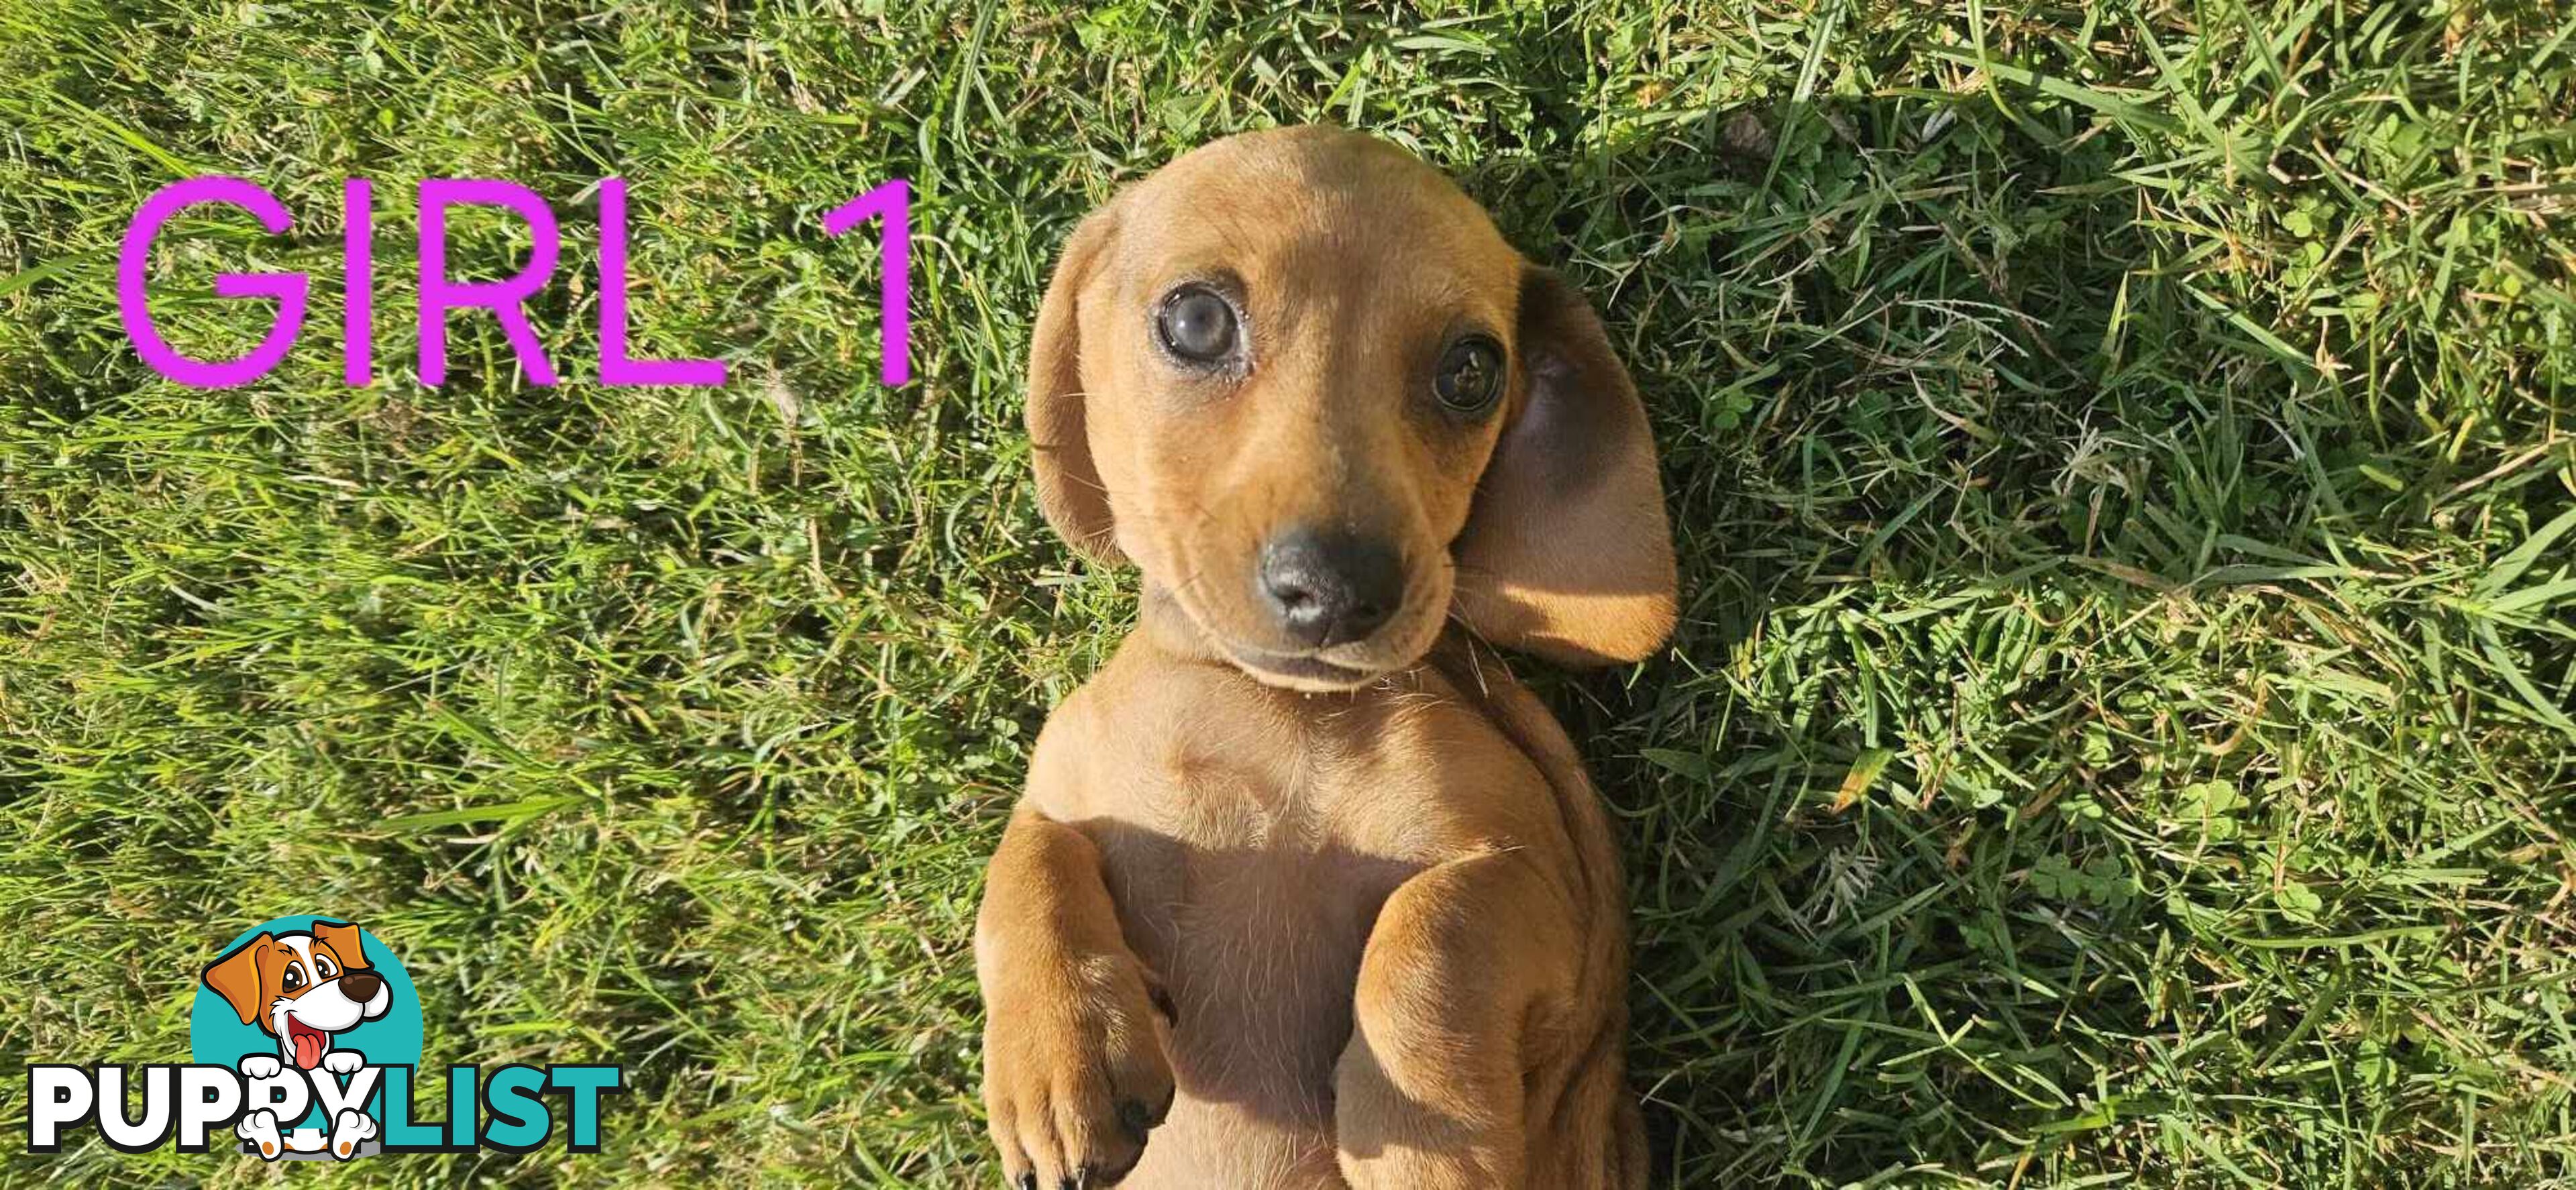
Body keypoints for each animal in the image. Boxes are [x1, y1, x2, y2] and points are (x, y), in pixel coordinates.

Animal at [973, 125, 1679, 1185]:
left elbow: (1427, 938)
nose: (1340, 585)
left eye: (1472, 371)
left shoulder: (1531, 870)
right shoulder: (1064, 778)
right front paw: (1058, 1061)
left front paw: (1430, 1146)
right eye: (1195, 320)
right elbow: (1023, 865)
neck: (1267, 713)